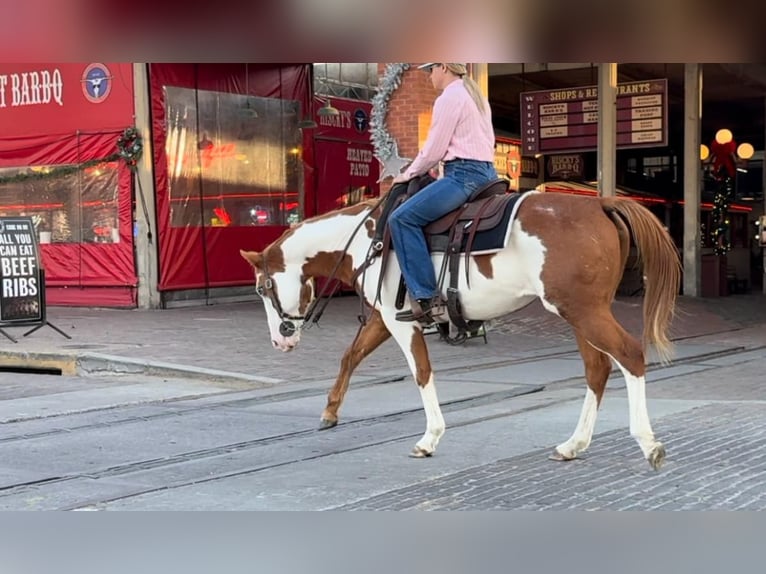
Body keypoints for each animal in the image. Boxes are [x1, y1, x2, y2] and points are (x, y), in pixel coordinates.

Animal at [240, 189, 681, 470]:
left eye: (262, 287)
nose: (280, 339)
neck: (371, 240)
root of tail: (601, 203)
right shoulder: (384, 317)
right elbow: (352, 355)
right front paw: (330, 411)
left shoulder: (399, 322)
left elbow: (421, 372)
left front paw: (429, 438)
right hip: (579, 313)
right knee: (597, 370)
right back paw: (573, 445)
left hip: (583, 312)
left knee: (629, 355)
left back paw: (648, 443)